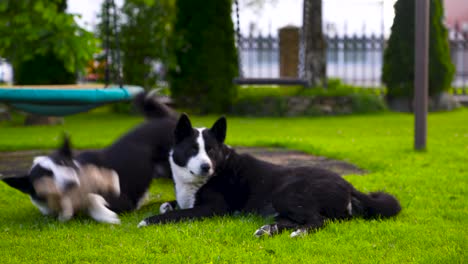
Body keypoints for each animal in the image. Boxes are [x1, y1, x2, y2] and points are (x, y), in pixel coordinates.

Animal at [2, 92, 177, 224]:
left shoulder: (123, 200)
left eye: (64, 163)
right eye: (46, 176)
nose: (72, 182)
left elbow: (92, 197)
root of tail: (165, 119)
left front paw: (105, 214)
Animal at [139, 115, 402, 237]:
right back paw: (268, 229)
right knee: (297, 219)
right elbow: (170, 205)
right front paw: (166, 206)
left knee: (318, 221)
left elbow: (179, 213)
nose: (206, 167)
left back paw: (297, 233)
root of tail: (347, 185)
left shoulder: (213, 209)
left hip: (285, 193)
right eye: (193, 149)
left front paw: (148, 220)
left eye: (211, 150)